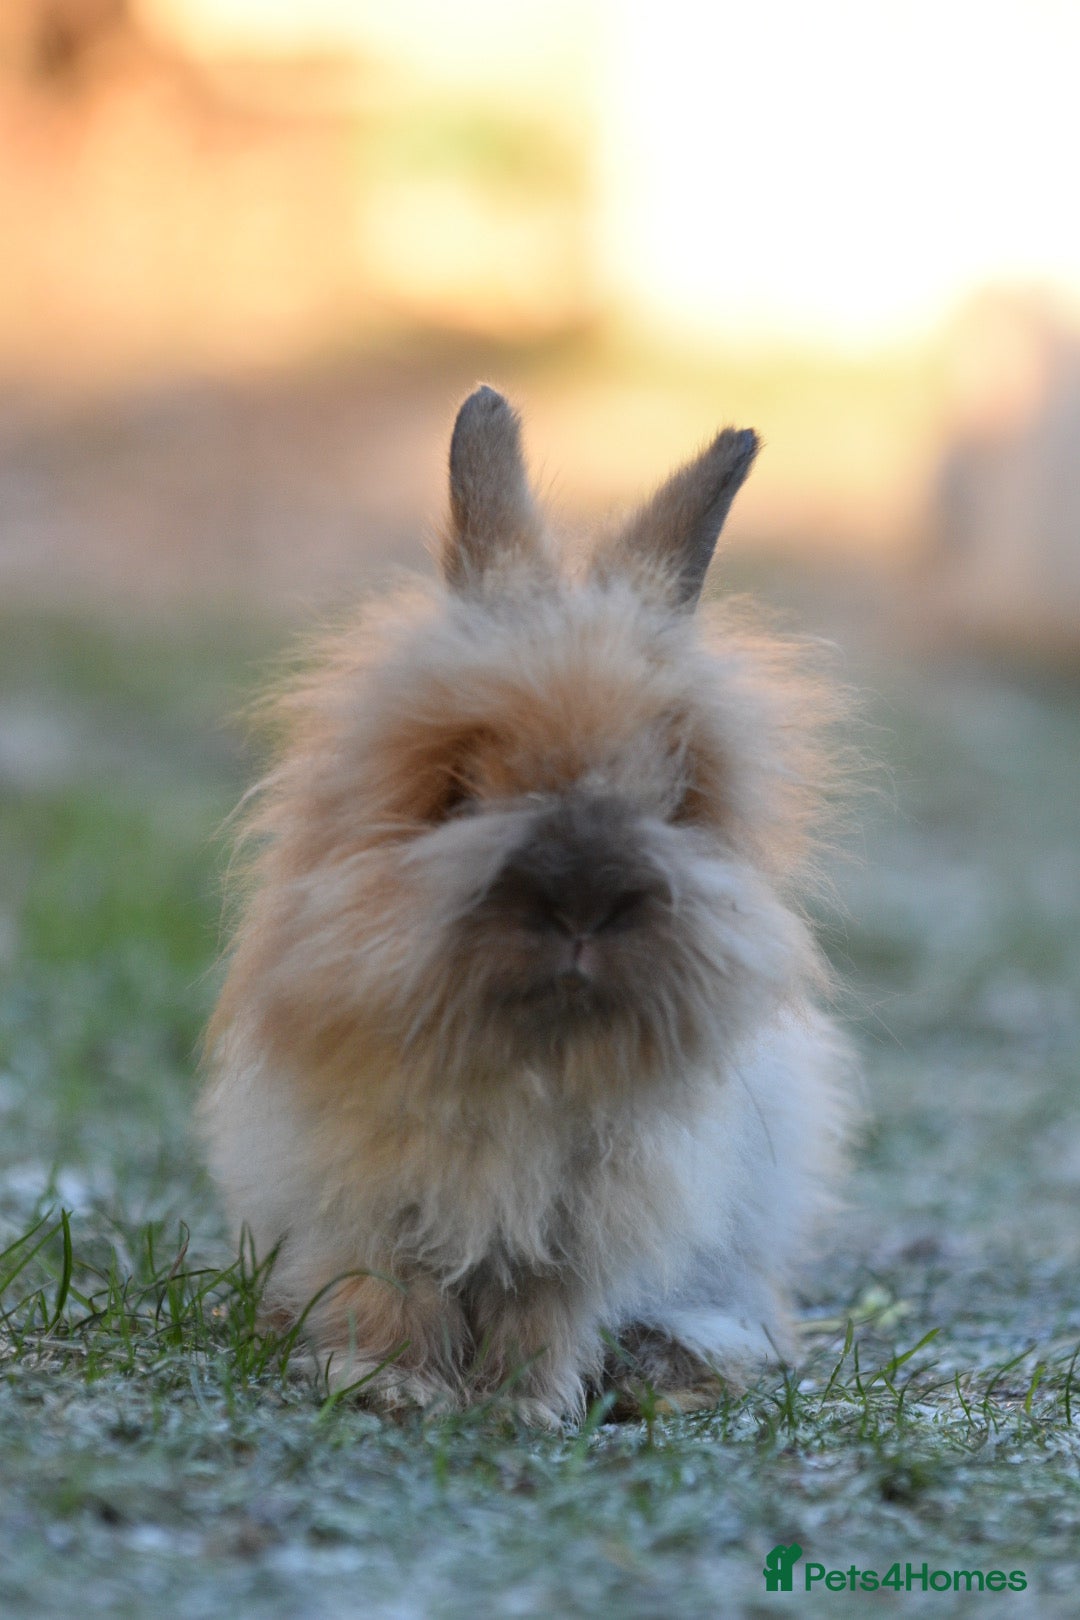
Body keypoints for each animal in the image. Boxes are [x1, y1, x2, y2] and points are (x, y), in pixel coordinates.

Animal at [201, 385, 851, 1426]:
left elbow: (541, 1310)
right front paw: (393, 1388)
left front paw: (521, 1408)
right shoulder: (372, 1202)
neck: (528, 1062)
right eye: (459, 789)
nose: (583, 899)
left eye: (674, 797)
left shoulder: (587, 1225)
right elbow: (392, 1291)